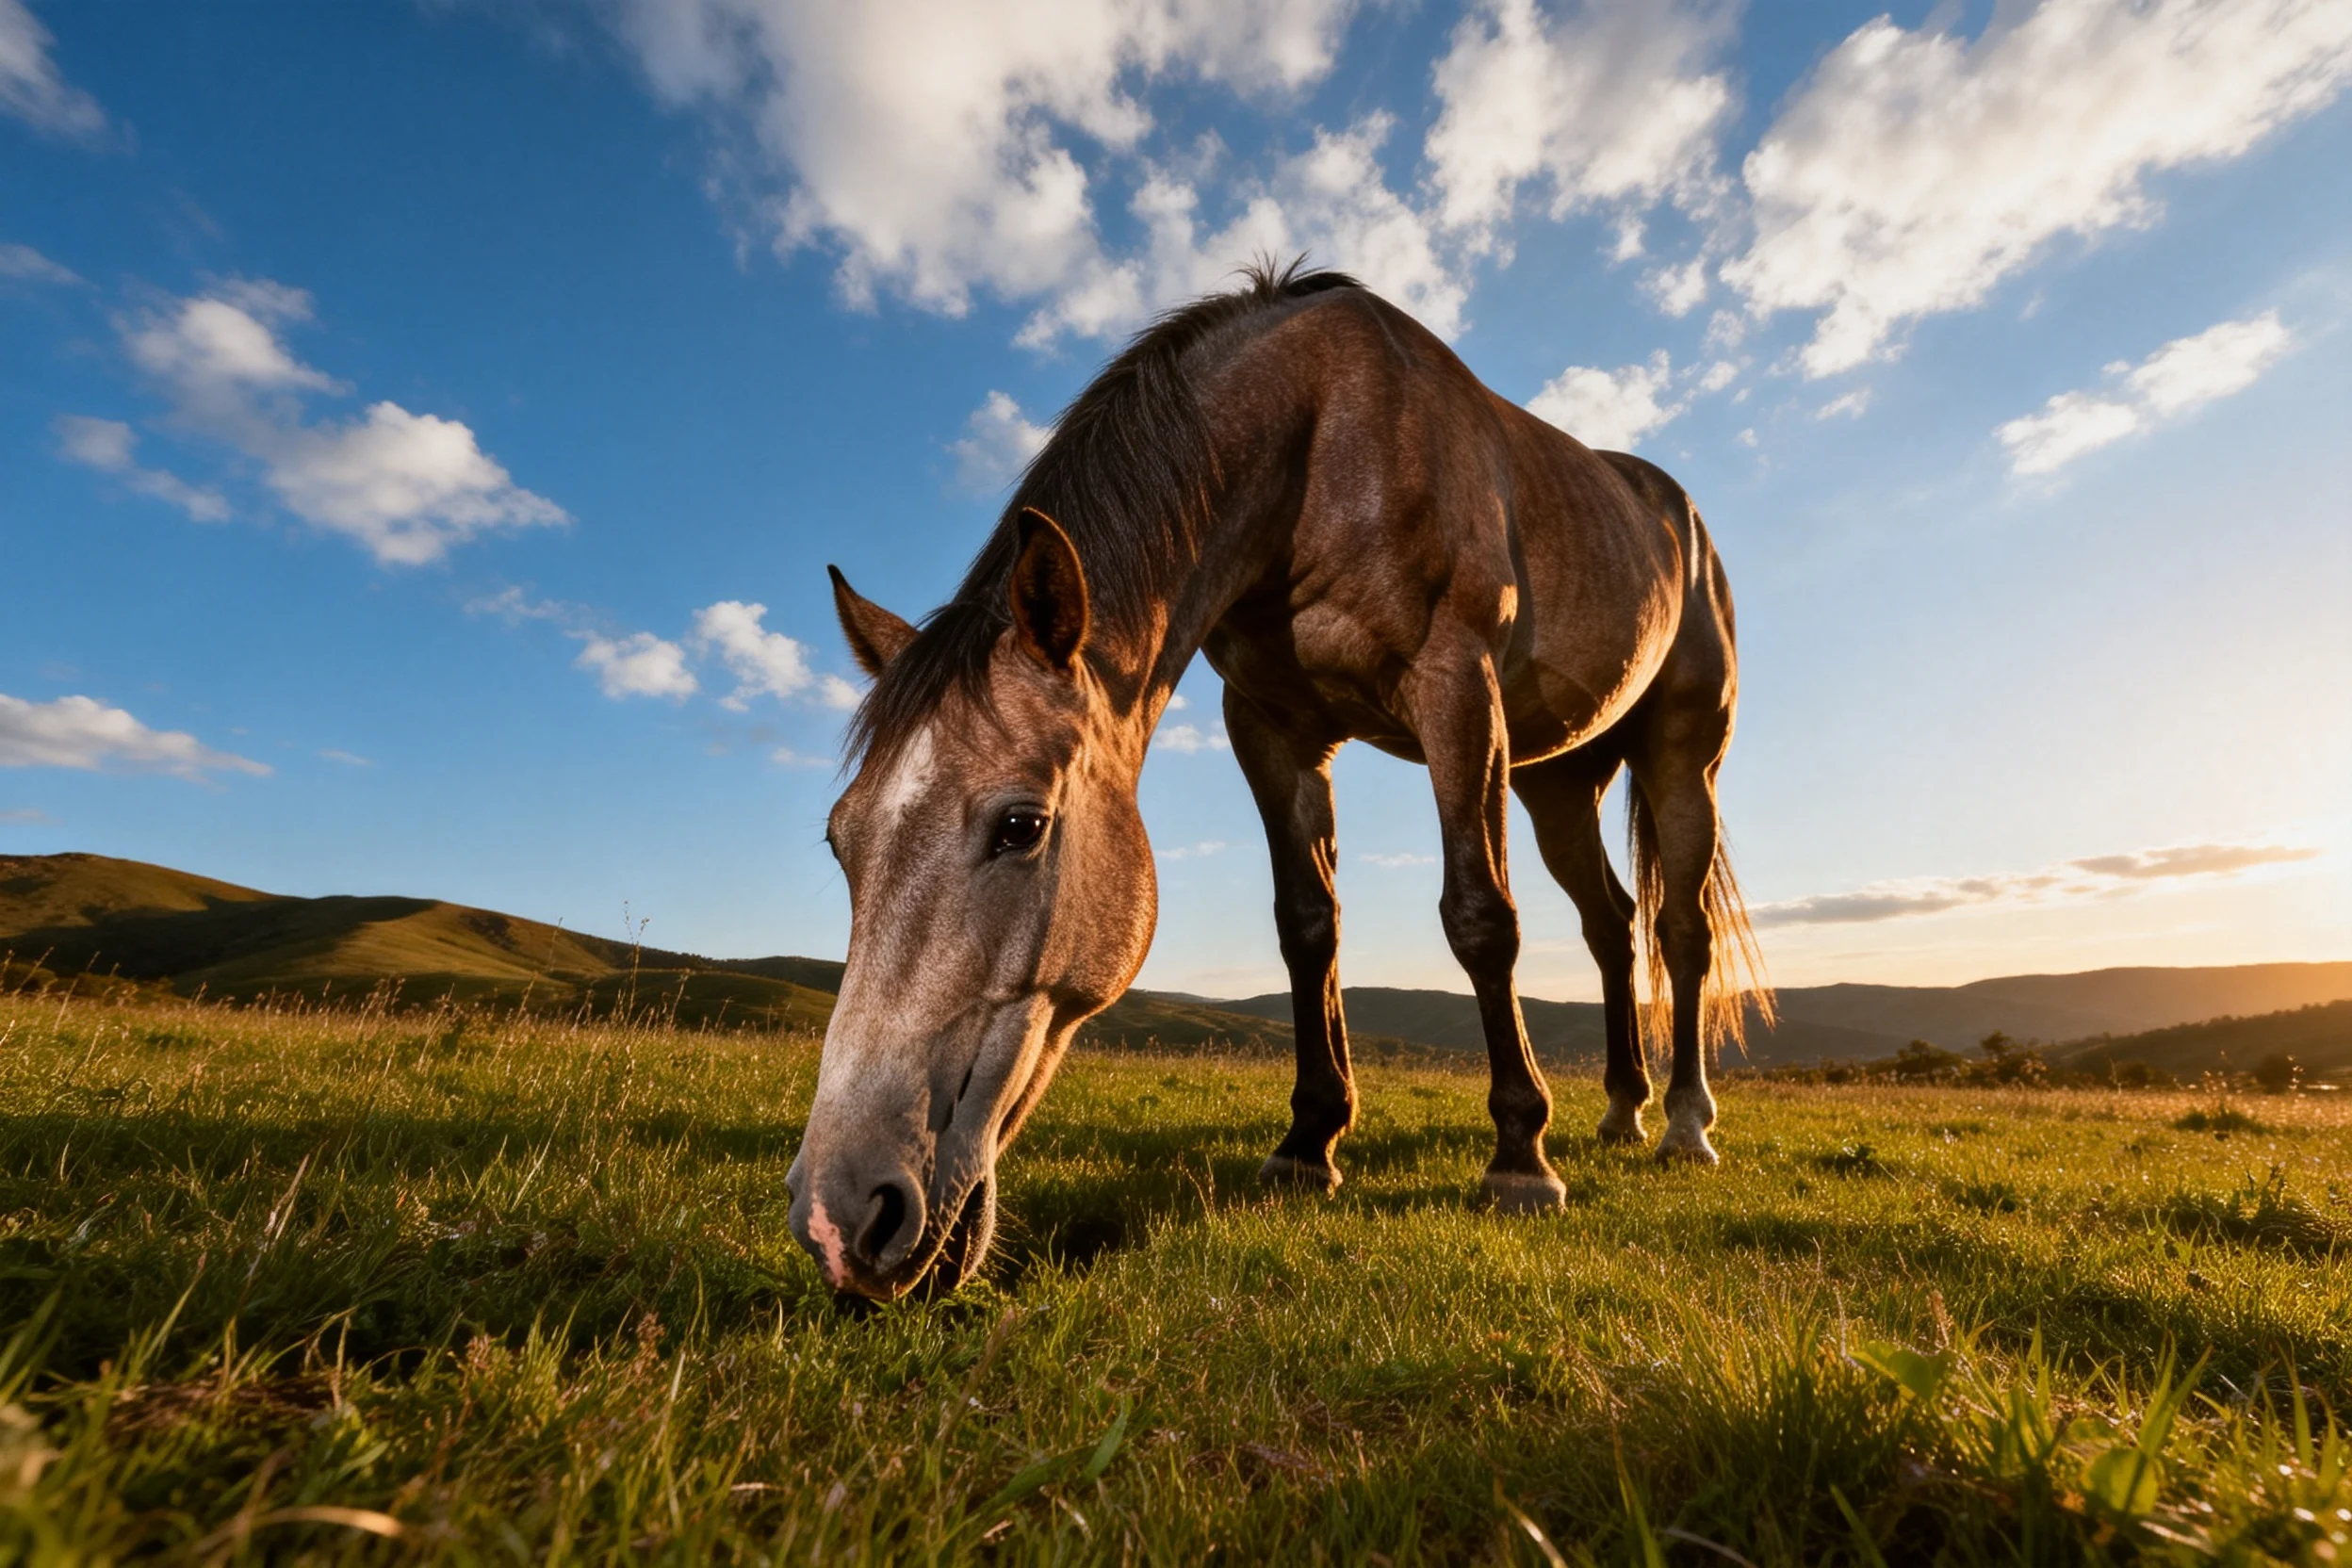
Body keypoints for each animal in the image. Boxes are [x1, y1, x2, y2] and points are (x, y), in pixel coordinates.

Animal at [788, 261, 1771, 1301]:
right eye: (842, 841)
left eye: (1020, 826)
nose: (839, 1216)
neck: (1318, 442)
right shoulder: (1271, 730)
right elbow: (1307, 926)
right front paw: (1310, 1139)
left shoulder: (1459, 691)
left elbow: (1479, 918)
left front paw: (1519, 1157)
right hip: (1557, 784)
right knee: (1612, 925)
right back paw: (1622, 1108)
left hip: (1681, 758)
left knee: (1681, 930)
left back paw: (1684, 1123)